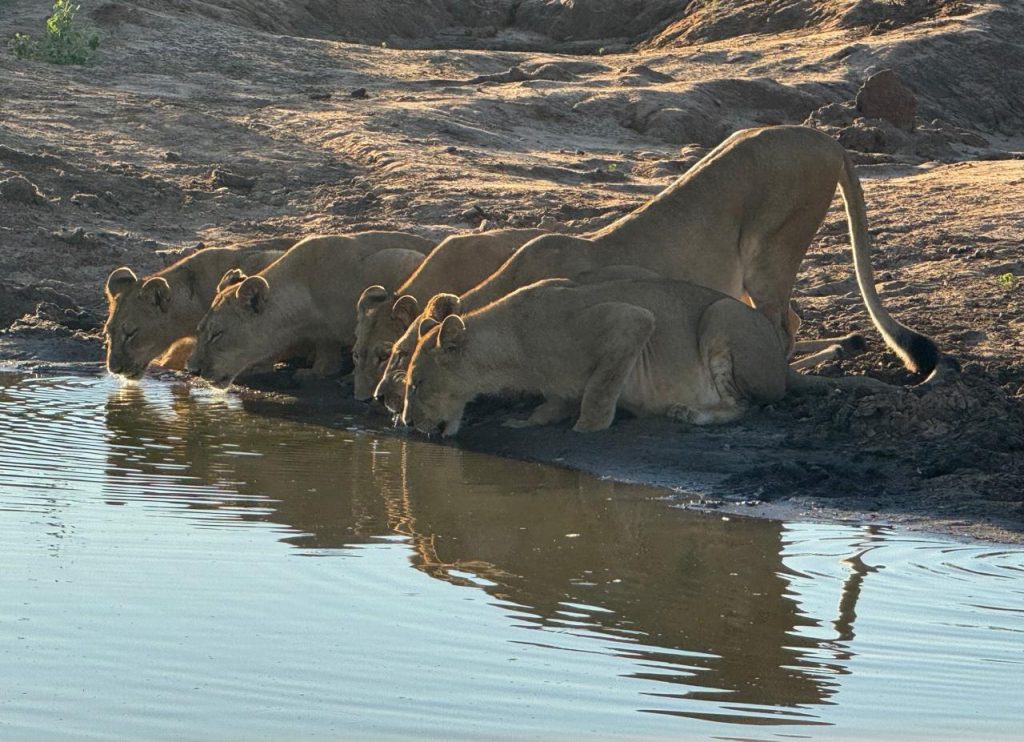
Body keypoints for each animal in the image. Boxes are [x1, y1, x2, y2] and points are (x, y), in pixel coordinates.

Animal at [186, 233, 433, 388]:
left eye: (217, 334)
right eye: (199, 331)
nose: (192, 370)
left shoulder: (400, 260)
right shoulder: (321, 330)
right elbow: (326, 350)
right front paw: (317, 371)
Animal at [388, 126, 953, 401]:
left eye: (394, 358)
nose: (384, 404)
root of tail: (827, 138)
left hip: (770, 252)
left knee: (782, 330)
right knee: (792, 323)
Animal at [401, 278, 890, 436]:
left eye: (416, 383)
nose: (403, 422)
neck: (512, 345)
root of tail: (784, 369)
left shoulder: (629, 321)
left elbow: (599, 389)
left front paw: (586, 428)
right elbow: (557, 400)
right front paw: (529, 420)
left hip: (722, 315)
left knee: (748, 405)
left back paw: (690, 413)